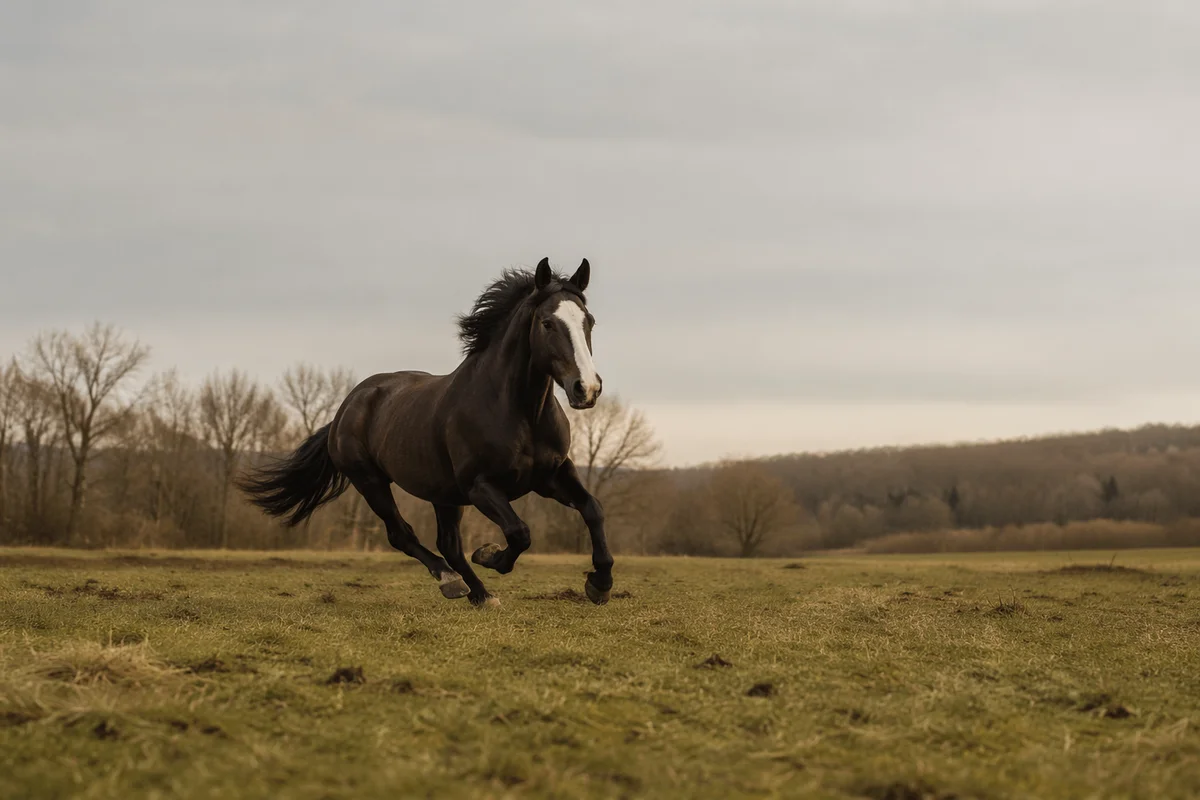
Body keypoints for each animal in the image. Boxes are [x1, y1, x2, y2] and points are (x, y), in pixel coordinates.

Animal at [235, 258, 612, 607]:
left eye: (589, 321)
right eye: (547, 323)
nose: (587, 389)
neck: (521, 414)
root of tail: (347, 407)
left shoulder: (551, 475)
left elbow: (592, 509)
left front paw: (600, 583)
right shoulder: (480, 486)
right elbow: (519, 533)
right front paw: (489, 554)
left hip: (442, 493)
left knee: (448, 544)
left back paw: (479, 594)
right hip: (371, 481)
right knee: (402, 535)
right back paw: (452, 581)